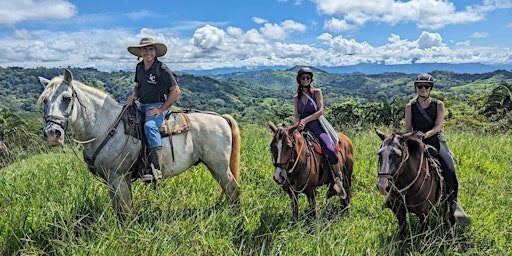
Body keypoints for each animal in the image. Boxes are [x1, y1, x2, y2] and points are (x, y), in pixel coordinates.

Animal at [38, 69, 242, 216]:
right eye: (45, 100)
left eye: (67, 98)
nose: (52, 134)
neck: (106, 126)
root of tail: (221, 118)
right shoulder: (112, 180)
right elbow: (119, 208)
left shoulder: (119, 177)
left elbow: (126, 210)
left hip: (219, 166)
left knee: (233, 189)